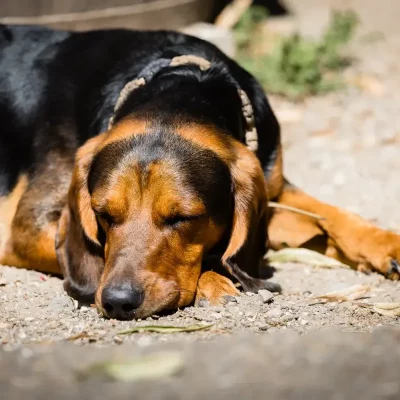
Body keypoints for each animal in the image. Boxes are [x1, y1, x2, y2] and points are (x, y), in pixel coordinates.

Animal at [0, 24, 400, 318]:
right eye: (104, 215)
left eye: (183, 218)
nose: (118, 302)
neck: (185, 84)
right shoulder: (24, 231)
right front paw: (215, 280)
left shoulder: (272, 185)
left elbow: (330, 213)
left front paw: (382, 241)